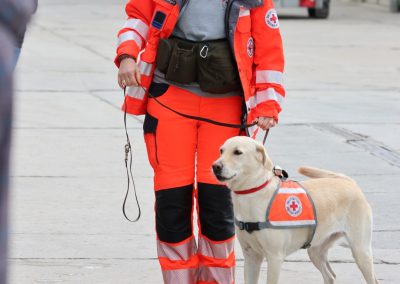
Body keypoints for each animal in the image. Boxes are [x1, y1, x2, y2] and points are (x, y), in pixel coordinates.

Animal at [212, 136, 378, 284]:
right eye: (221, 150)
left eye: (237, 152)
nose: (215, 166)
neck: (251, 194)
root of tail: (349, 182)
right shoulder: (251, 257)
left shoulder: (275, 258)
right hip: (315, 250)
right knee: (330, 276)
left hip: (360, 251)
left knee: (372, 279)